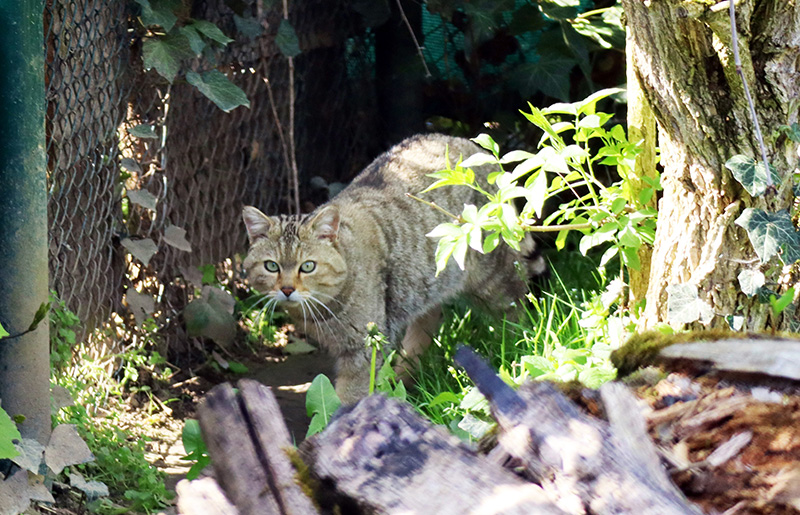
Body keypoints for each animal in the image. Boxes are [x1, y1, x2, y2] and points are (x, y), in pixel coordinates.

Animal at [244, 134, 544, 404]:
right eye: (271, 266)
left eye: (307, 266)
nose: (286, 289)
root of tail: (473, 146)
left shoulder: (362, 351)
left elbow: (349, 399)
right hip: (425, 283)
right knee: (427, 322)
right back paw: (402, 377)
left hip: (494, 280)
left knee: (518, 310)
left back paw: (519, 352)